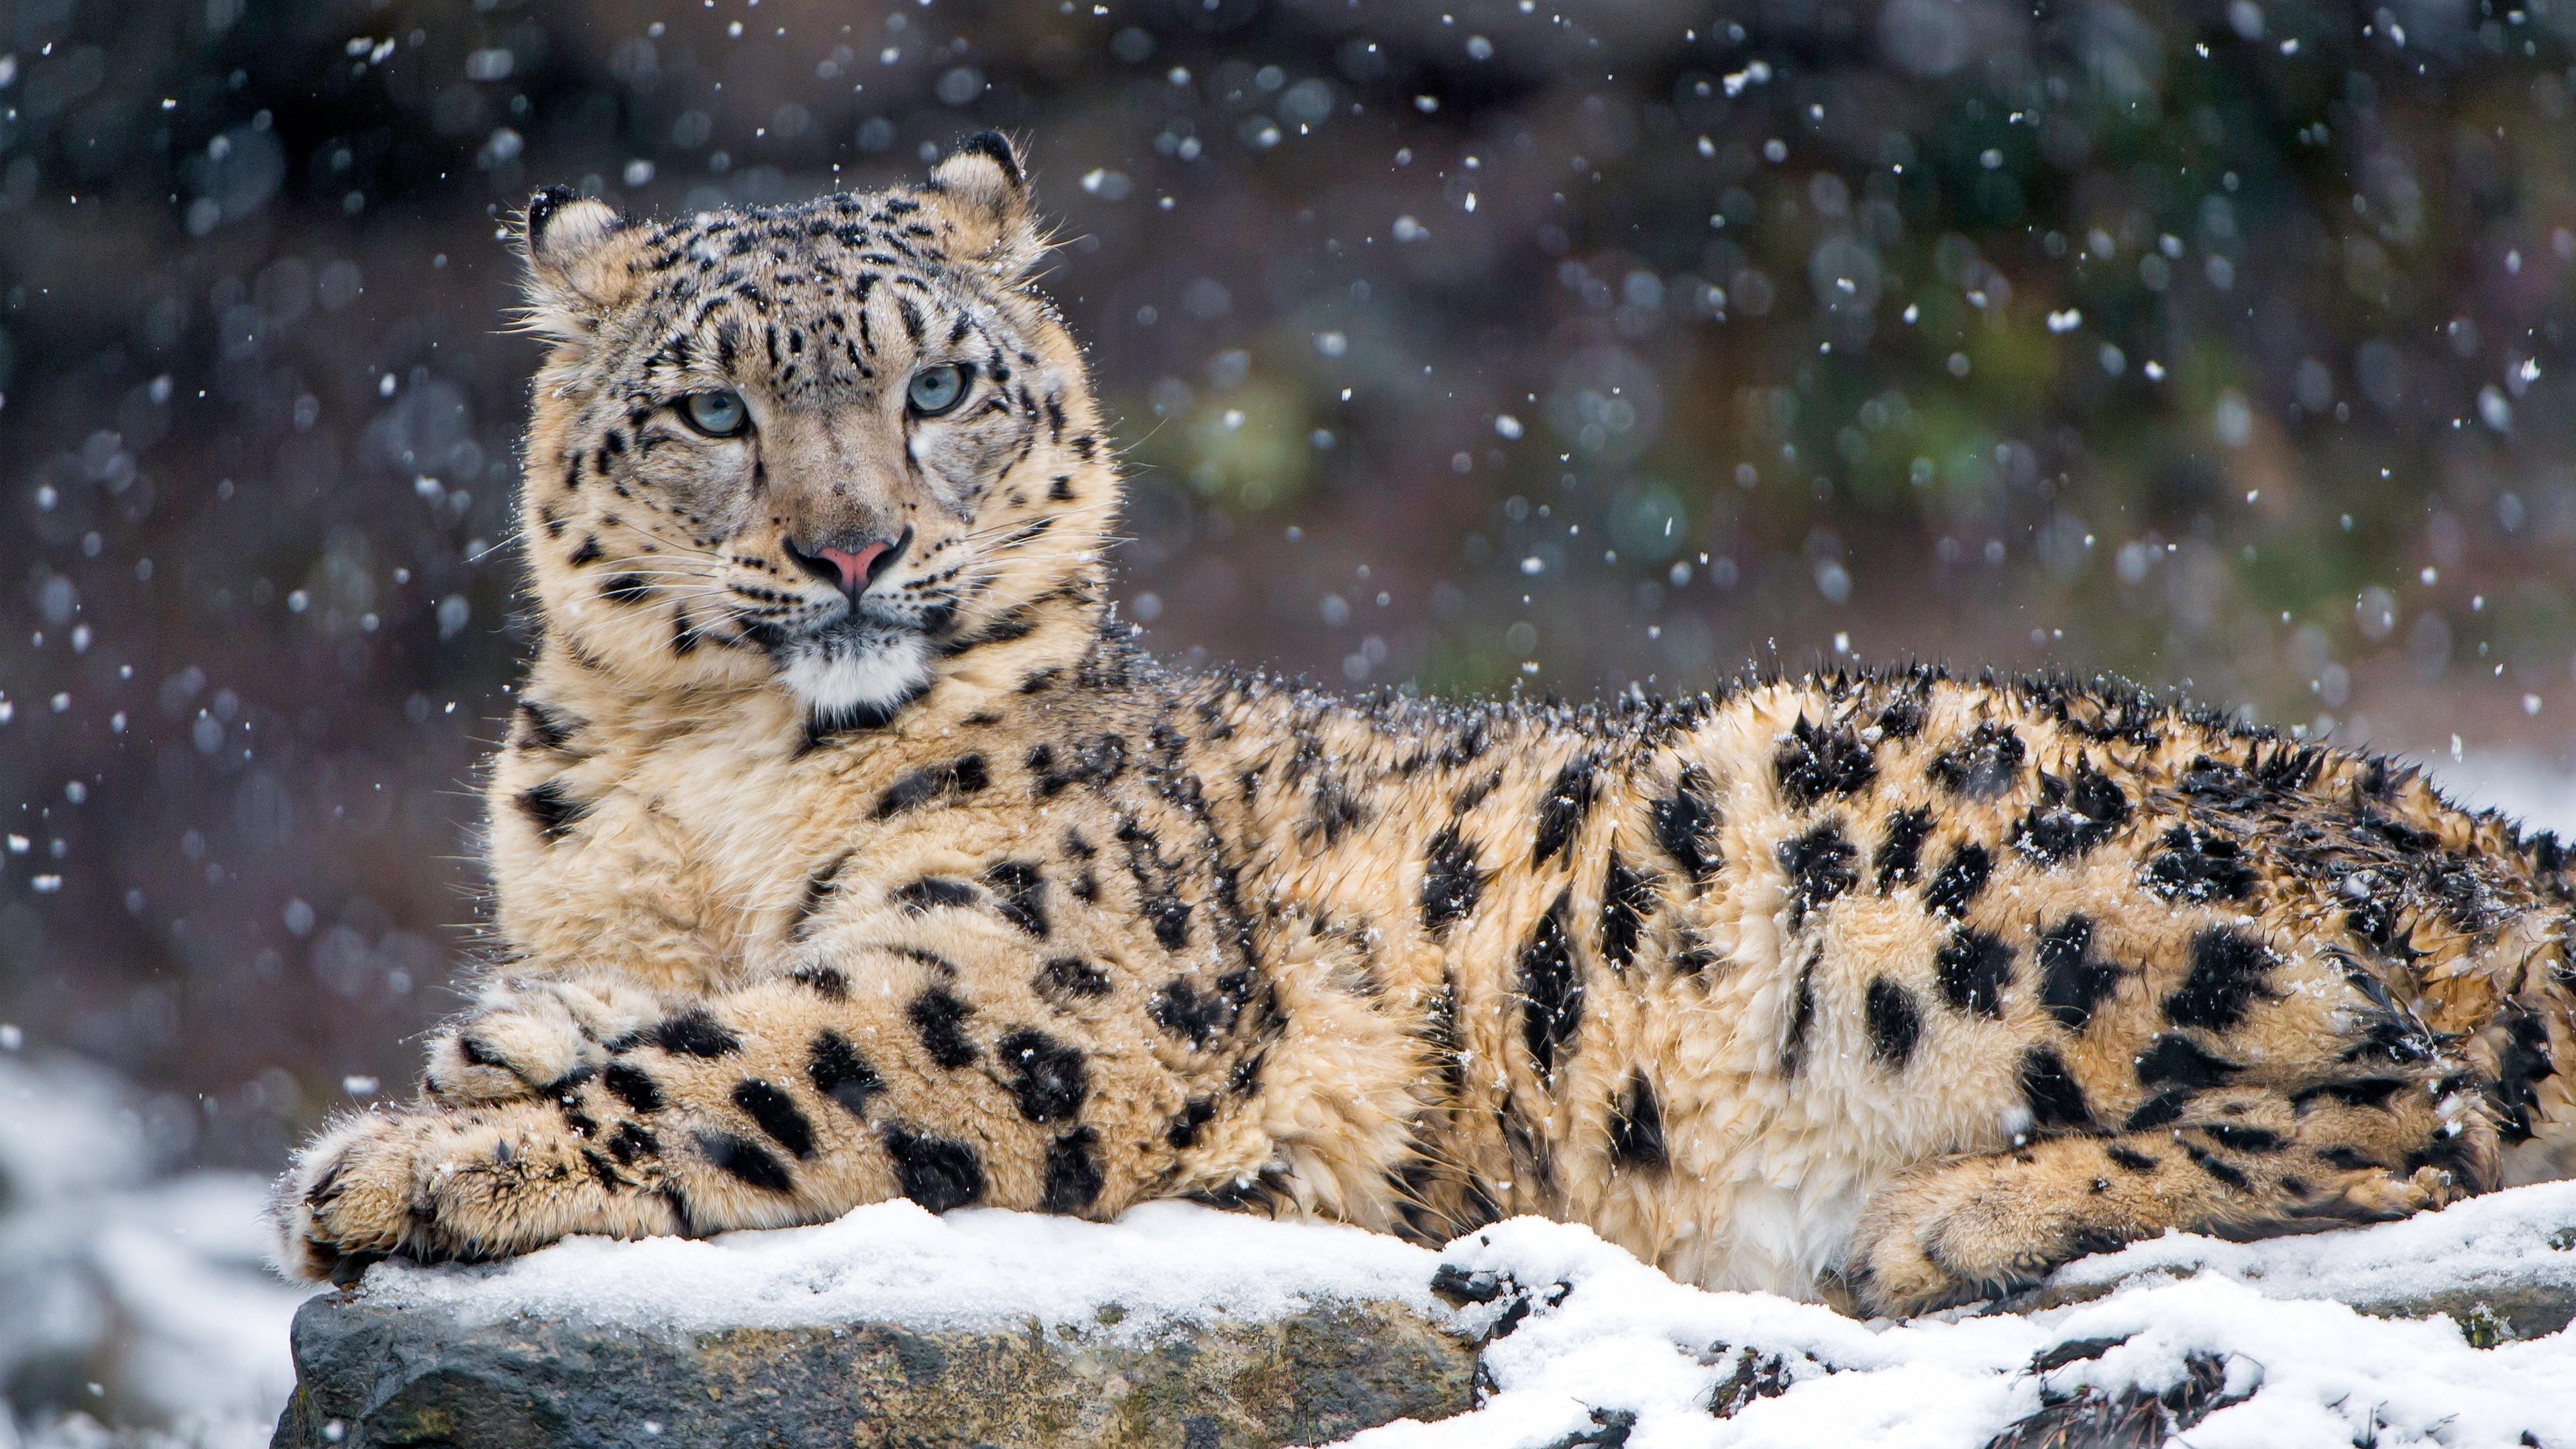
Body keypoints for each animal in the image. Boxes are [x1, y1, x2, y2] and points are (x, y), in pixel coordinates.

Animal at [261, 135, 2576, 1309]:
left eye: (936, 386)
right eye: (713, 412)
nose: (847, 551)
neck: (710, 783)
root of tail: (2484, 832)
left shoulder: (1062, 970)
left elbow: (763, 1063)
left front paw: (407, 1166)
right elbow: (658, 1004)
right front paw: (499, 1042)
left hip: (1892, 847)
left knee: (2423, 1098)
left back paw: (1956, 1219)